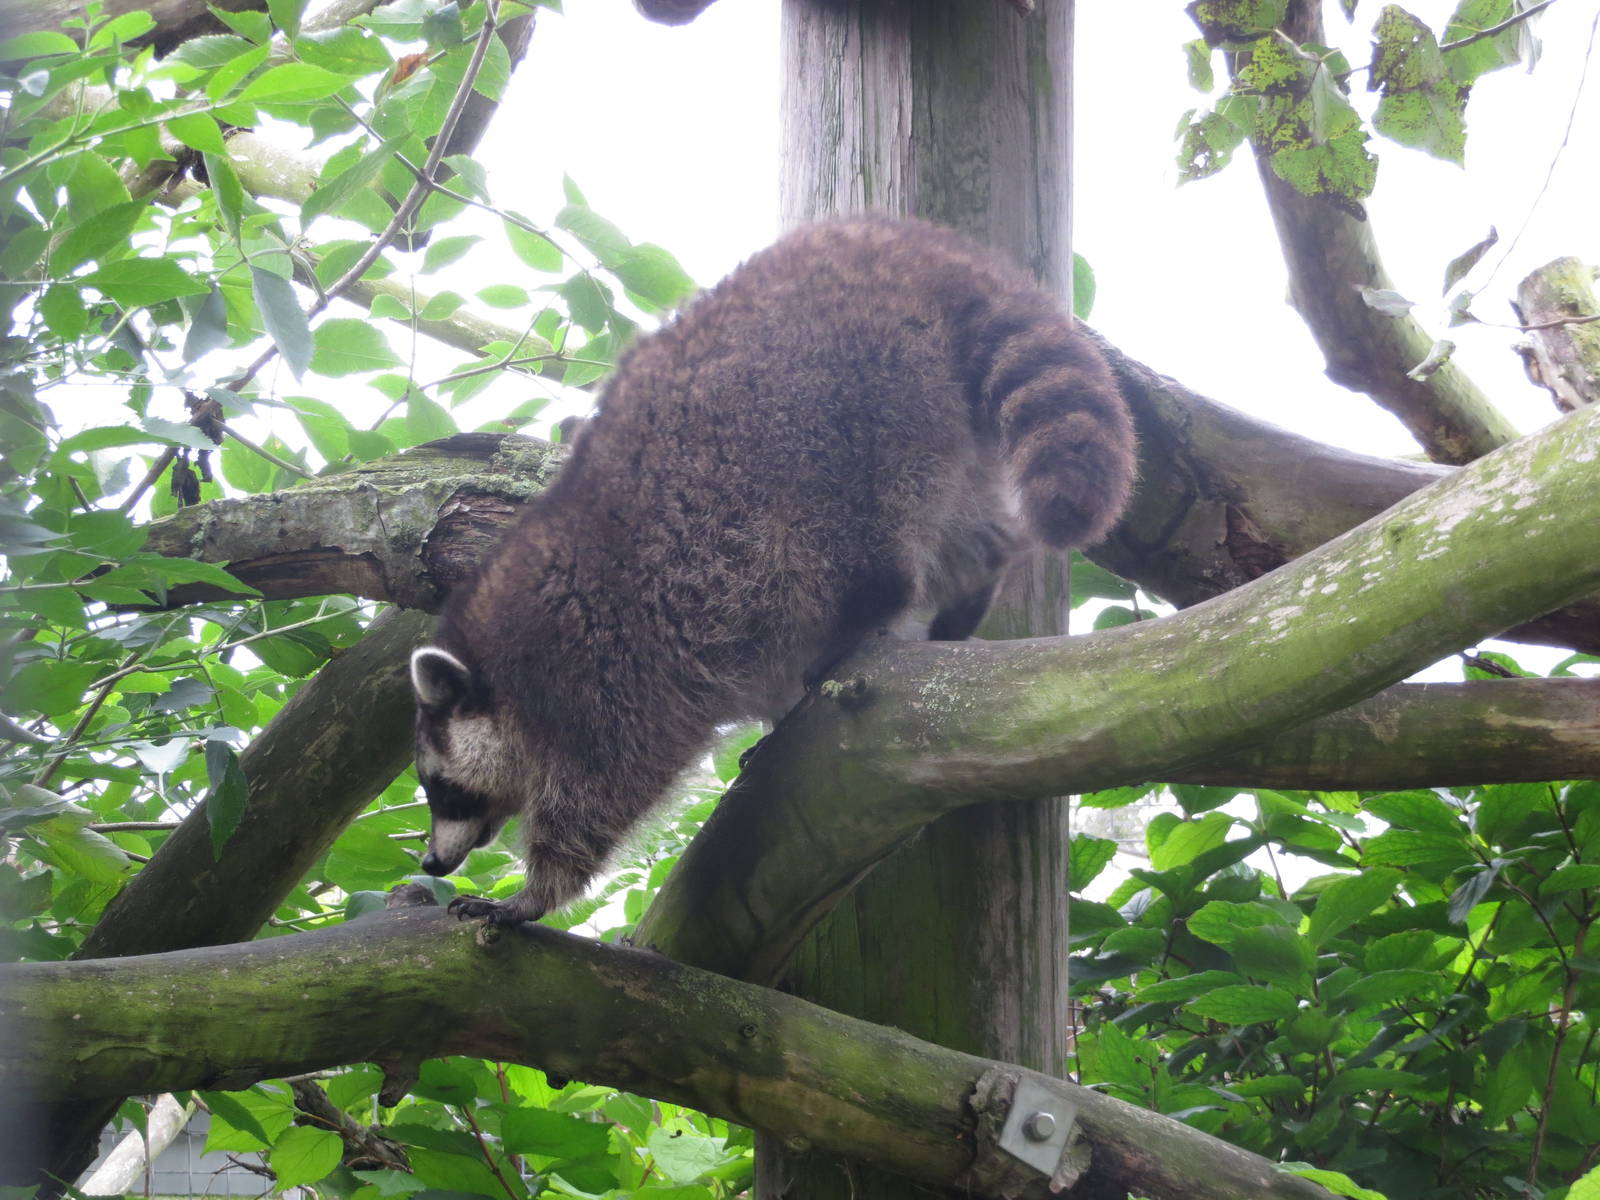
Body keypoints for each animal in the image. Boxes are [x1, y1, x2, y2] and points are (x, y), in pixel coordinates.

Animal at [410, 215, 1136, 924]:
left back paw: (867, 612)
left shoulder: (605, 671)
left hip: (840, 411)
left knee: (839, 542)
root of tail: (915, 254)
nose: (432, 863)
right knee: (968, 526)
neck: (506, 668)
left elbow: (603, 793)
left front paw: (539, 890)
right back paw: (974, 577)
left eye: (440, 786)